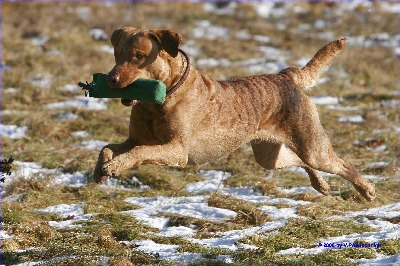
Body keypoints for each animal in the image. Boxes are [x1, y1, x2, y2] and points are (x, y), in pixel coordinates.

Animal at [92, 27, 376, 202]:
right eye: (117, 54)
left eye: (138, 56)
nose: (111, 79)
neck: (160, 101)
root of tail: (286, 76)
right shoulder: (134, 139)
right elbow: (108, 147)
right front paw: (101, 171)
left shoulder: (178, 150)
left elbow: (139, 153)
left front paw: (116, 166)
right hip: (268, 154)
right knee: (299, 160)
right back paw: (322, 186)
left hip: (312, 145)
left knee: (343, 164)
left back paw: (367, 190)